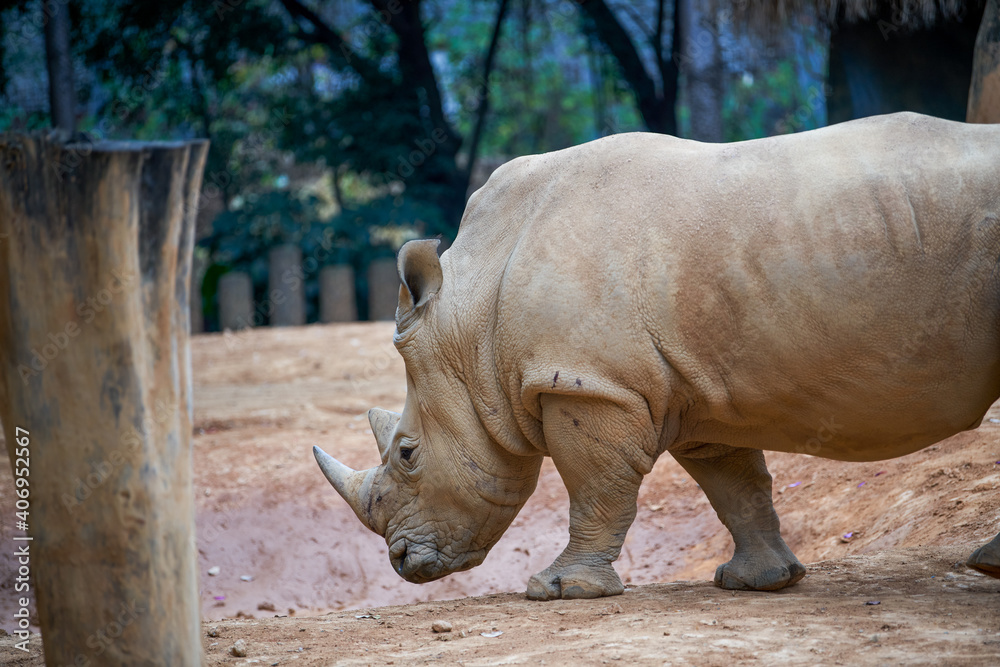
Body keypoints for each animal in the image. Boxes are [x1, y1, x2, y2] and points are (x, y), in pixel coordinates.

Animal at [314, 112, 1000, 600]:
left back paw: (986, 567)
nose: (402, 562)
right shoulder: (696, 387)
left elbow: (595, 488)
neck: (472, 320)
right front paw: (760, 582)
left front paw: (559, 590)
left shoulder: (589, 383)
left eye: (407, 454)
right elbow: (736, 485)